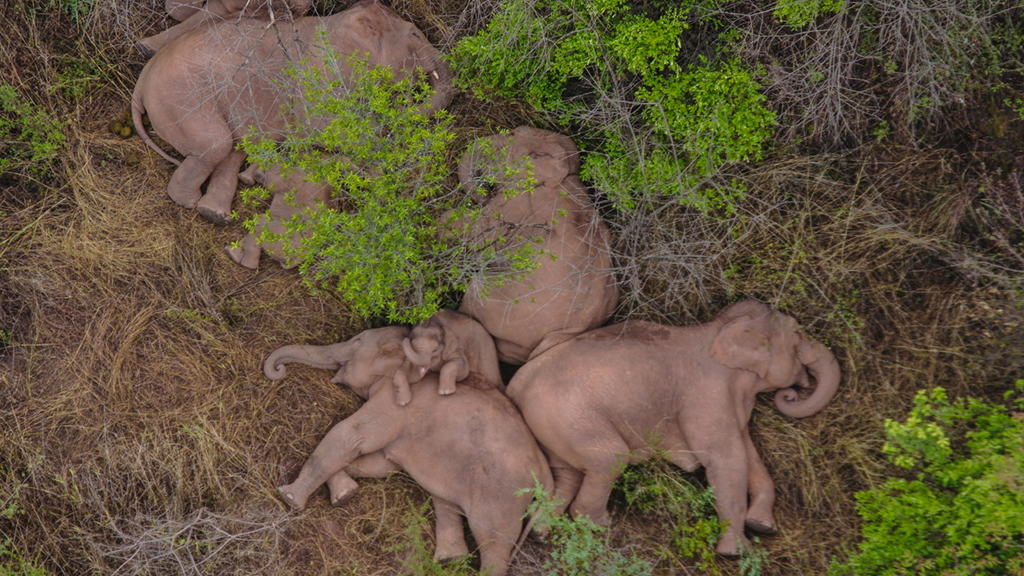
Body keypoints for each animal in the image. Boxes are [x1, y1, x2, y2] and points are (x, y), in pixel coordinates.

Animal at [131, 0, 454, 225]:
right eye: (415, 35)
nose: (405, 100)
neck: (338, 22)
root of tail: (141, 83)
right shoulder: (319, 77)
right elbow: (329, 128)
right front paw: (377, 181)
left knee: (233, 148)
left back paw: (216, 214)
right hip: (182, 98)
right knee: (217, 144)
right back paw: (191, 203)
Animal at [264, 326, 553, 576]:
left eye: (357, 341)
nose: (279, 369)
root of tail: (545, 473)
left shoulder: (394, 403)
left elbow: (351, 435)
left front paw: (289, 497)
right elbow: (380, 464)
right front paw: (345, 495)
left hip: (502, 496)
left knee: (493, 541)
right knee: (445, 500)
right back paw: (449, 559)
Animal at [505, 299, 842, 557]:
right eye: (798, 333)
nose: (791, 394)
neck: (718, 328)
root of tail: (516, 386)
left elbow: (749, 454)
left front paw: (762, 526)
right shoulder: (706, 395)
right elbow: (725, 458)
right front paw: (737, 553)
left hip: (553, 426)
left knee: (569, 474)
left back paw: (540, 533)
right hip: (568, 415)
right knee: (610, 458)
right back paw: (598, 525)